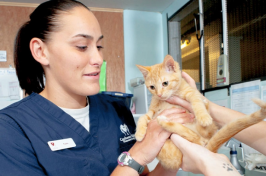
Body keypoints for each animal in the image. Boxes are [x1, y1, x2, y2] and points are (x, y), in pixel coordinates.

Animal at [135, 54, 266, 170]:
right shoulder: (152, 111)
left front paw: (203, 116)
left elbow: (197, 102)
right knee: (194, 137)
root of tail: (206, 145)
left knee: (198, 136)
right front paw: (139, 134)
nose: (159, 94)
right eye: (152, 87)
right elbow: (142, 117)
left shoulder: (192, 92)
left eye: (165, 83)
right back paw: (164, 121)